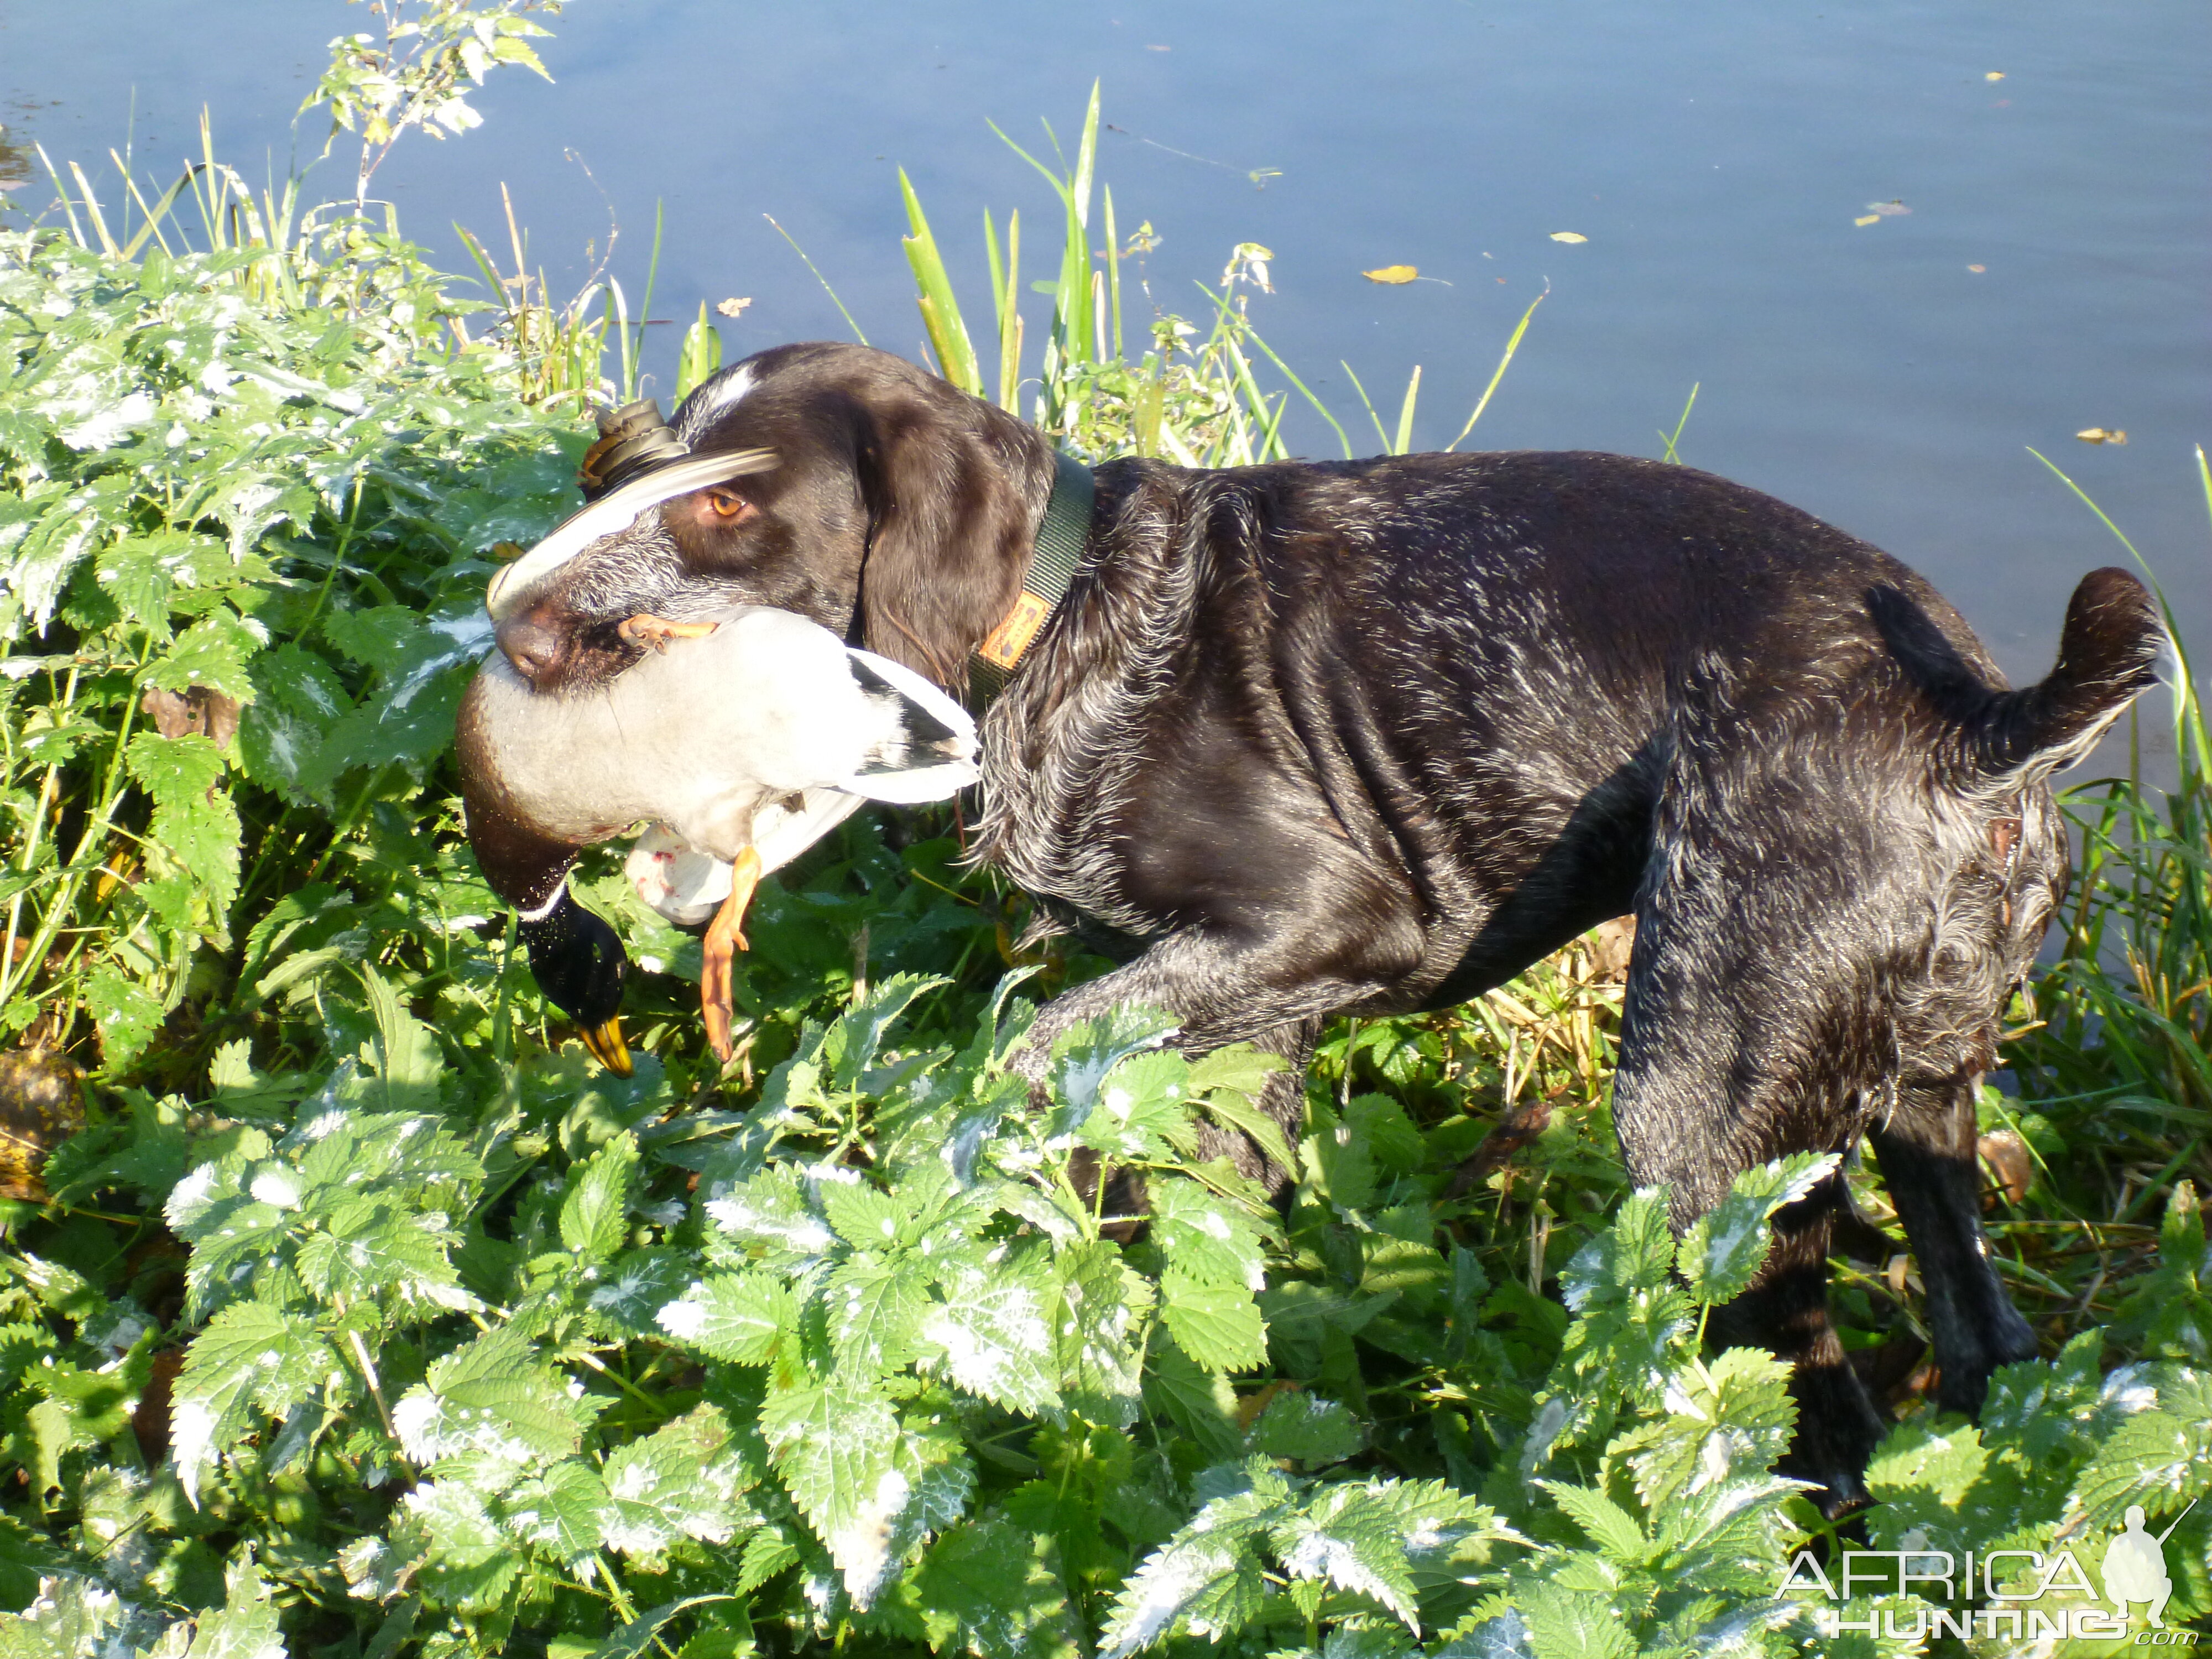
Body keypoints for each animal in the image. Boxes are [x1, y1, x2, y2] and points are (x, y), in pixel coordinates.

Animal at [480, 345, 2159, 1513]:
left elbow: (1028, 1063)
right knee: (1980, 1340)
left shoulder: (1342, 921)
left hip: (1698, 1142)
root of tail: (1975, 719)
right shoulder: (1245, 1014)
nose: (517, 625)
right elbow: (1208, 1222)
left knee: (1825, 1409)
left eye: (723, 501)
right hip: (1923, 1091)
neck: (1066, 618)